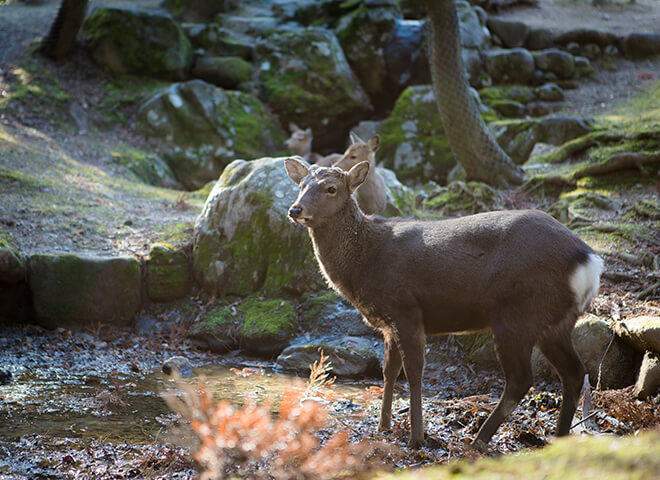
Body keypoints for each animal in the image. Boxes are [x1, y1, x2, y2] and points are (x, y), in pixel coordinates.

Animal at [284, 158, 604, 450]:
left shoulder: (406, 309)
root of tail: (589, 261)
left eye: (331, 188)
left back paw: (479, 440)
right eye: (301, 185)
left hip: (517, 314)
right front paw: (384, 426)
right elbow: (389, 371)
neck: (365, 262)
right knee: (573, 373)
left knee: (521, 379)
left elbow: (414, 372)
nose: (295, 209)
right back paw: (558, 438)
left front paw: (416, 438)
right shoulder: (388, 324)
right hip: (555, 321)